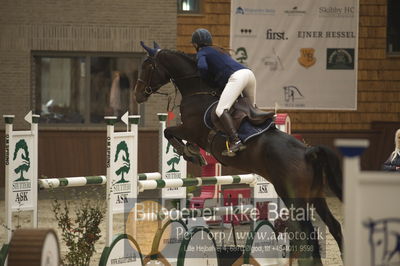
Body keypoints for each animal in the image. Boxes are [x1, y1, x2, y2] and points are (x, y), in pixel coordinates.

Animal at [134, 42, 344, 264]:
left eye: (147, 66)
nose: (137, 94)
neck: (197, 92)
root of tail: (307, 152)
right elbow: (173, 135)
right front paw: (191, 151)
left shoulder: (190, 129)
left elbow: (169, 132)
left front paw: (190, 153)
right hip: (316, 195)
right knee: (334, 227)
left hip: (294, 197)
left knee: (309, 233)